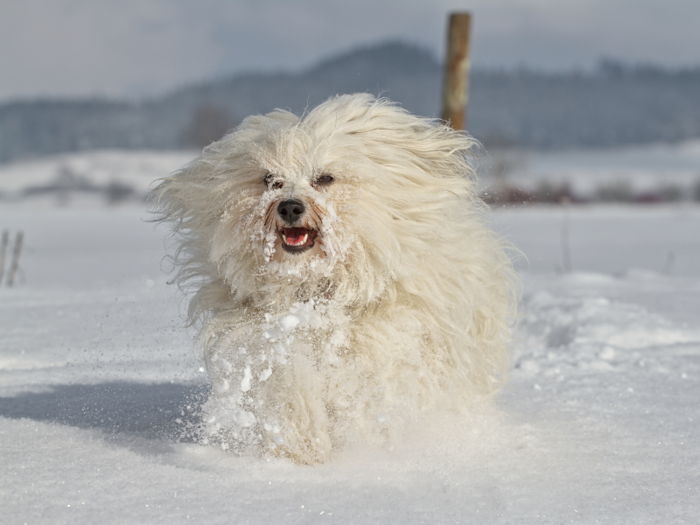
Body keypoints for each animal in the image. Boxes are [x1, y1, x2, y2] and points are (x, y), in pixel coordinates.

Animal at [157, 94, 520, 462]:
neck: (315, 291)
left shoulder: (391, 341)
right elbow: (288, 383)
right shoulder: (263, 339)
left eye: (325, 178)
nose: (289, 207)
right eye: (270, 179)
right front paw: (302, 445)